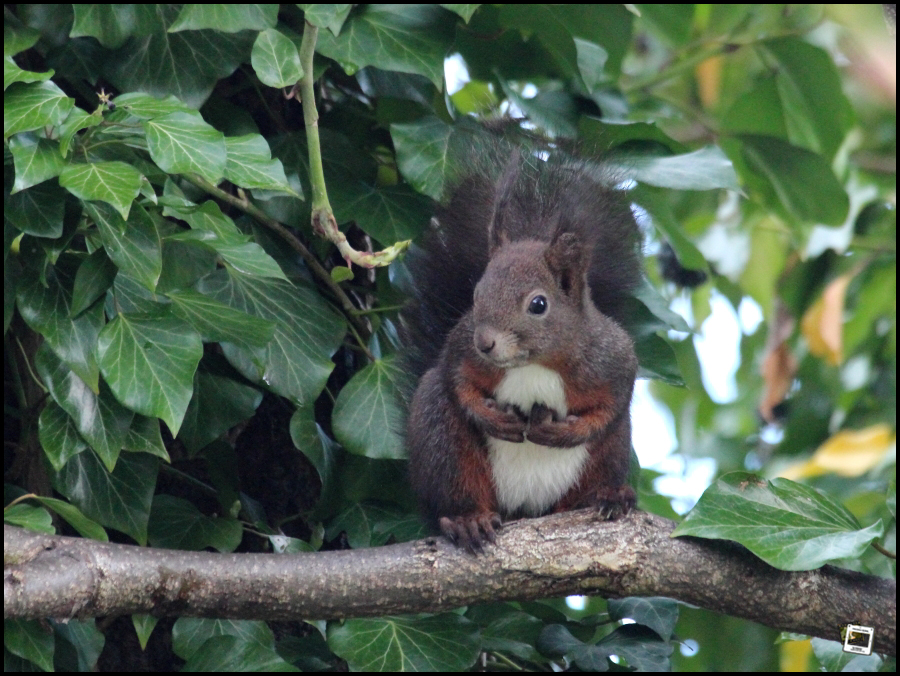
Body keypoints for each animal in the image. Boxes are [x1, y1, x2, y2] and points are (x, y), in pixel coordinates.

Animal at [404, 151, 644, 552]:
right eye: (476, 294)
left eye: (538, 304)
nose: (485, 342)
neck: (533, 365)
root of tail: (527, 510)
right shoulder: (460, 347)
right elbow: (456, 380)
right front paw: (492, 417)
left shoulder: (612, 358)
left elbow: (611, 406)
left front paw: (563, 433)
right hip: (442, 440)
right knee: (457, 483)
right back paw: (468, 520)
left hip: (610, 452)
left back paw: (607, 496)